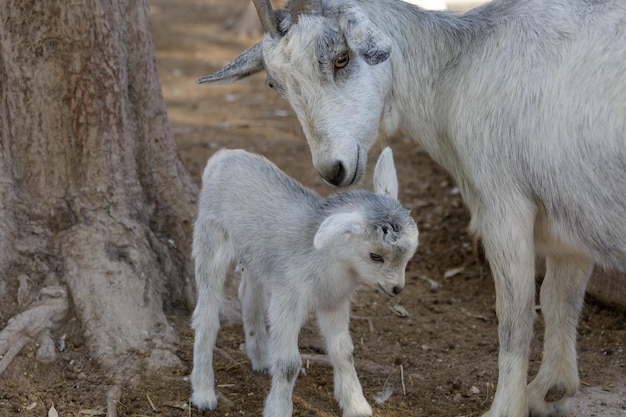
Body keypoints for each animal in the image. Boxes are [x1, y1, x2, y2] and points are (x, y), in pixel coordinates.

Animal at [189, 147, 414, 416]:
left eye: (408, 255)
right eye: (375, 256)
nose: (396, 288)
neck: (330, 260)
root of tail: (223, 156)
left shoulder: (334, 302)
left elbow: (344, 352)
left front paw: (356, 405)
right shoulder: (288, 299)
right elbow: (288, 364)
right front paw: (278, 409)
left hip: (256, 256)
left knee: (249, 295)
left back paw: (262, 357)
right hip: (211, 238)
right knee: (206, 315)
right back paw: (203, 392)